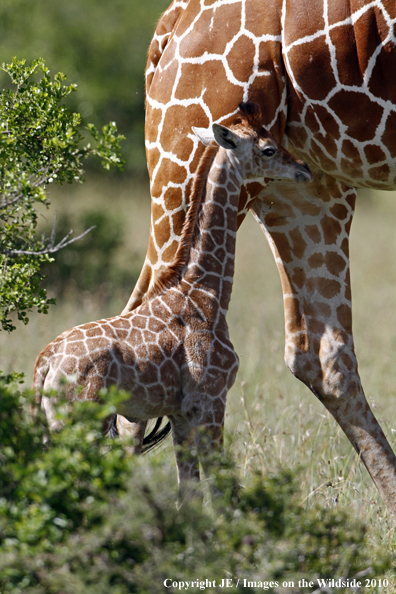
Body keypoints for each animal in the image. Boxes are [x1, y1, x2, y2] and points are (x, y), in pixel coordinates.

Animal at [33, 100, 312, 480]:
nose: (304, 168)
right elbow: (221, 484)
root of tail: (45, 361)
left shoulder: (180, 413)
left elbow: (189, 486)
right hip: (80, 421)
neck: (207, 290)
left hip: (56, 426)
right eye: (268, 148)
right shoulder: (210, 399)